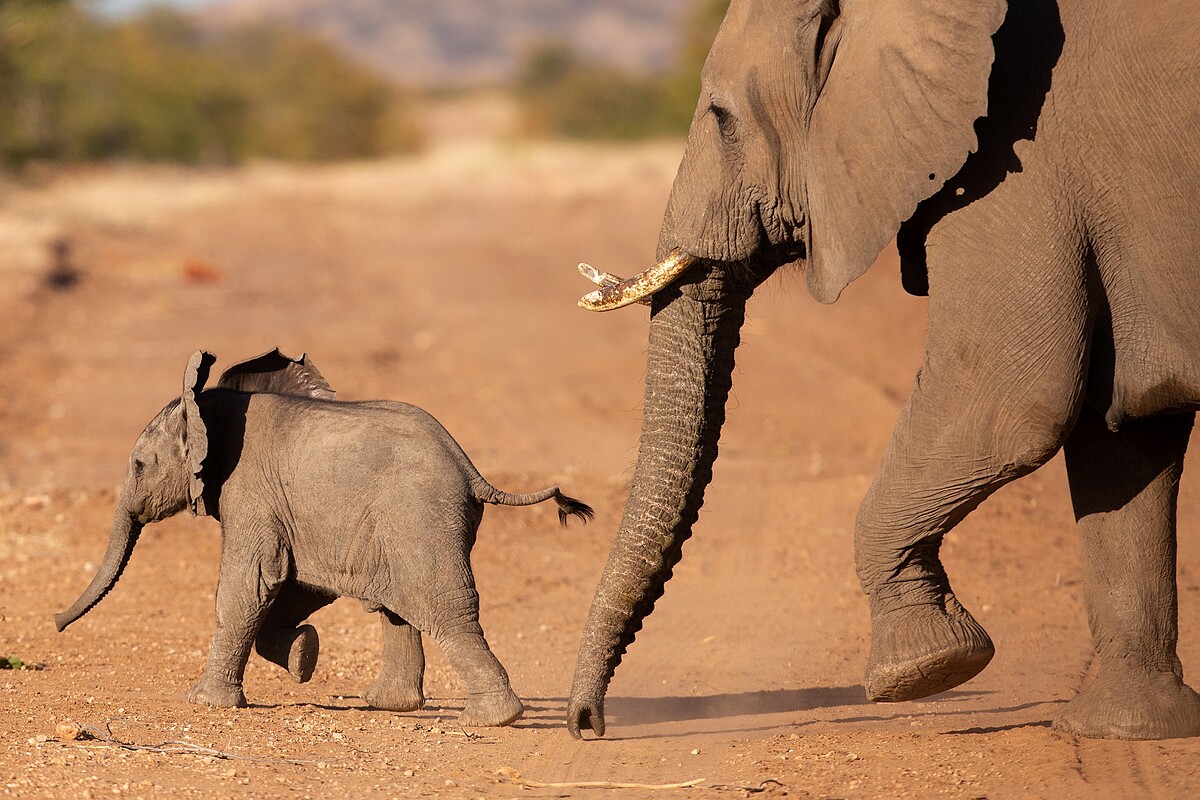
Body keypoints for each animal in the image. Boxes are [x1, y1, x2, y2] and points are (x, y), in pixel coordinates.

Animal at [55, 349, 592, 727]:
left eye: (138, 466)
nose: (56, 623)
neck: (208, 406)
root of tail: (470, 468)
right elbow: (294, 586)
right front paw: (303, 657)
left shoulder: (249, 491)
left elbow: (252, 583)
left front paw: (206, 703)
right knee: (396, 606)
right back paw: (390, 706)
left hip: (418, 517)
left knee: (441, 606)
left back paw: (492, 719)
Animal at [567, 0, 1200, 740]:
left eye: (721, 117)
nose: (587, 724)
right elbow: (1118, 437)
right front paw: (1120, 732)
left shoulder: (1018, 161)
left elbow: (1006, 404)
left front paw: (925, 671)